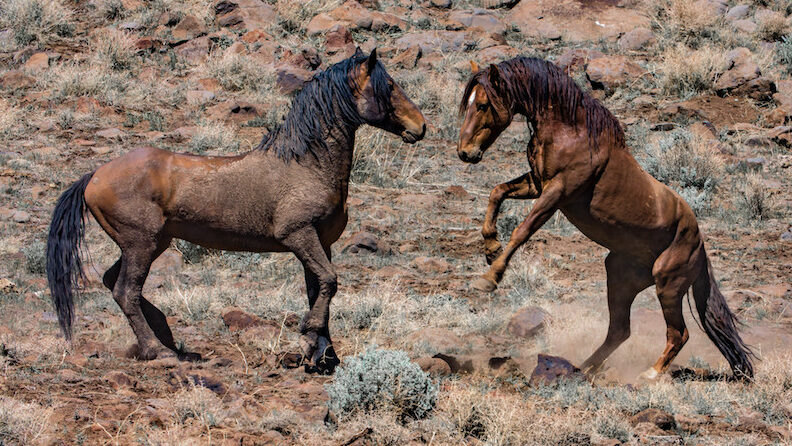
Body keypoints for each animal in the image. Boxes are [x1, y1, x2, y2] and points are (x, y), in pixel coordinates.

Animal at [46, 49, 426, 374]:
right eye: (389, 86)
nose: (420, 126)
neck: (307, 164)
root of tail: (94, 176)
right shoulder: (299, 235)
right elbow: (329, 282)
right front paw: (312, 338)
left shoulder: (320, 243)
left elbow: (320, 288)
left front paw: (321, 357)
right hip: (141, 243)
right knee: (126, 291)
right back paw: (160, 350)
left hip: (151, 244)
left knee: (116, 284)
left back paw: (170, 339)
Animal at [456, 57, 753, 379]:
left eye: (482, 104)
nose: (465, 152)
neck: (570, 132)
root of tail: (700, 247)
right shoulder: (537, 184)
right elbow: (497, 193)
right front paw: (490, 247)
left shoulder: (557, 193)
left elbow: (522, 231)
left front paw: (488, 279)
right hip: (620, 279)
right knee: (619, 331)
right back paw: (583, 369)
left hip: (668, 286)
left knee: (678, 333)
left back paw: (649, 374)